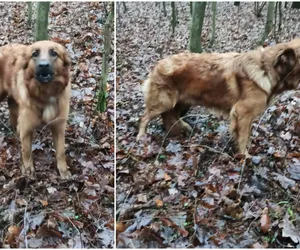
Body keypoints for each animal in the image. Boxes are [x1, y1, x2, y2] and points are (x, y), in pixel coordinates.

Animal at [0, 40, 71, 179]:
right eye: (35, 54)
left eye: (54, 53)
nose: (43, 65)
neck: (45, 93)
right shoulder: (27, 127)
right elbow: (27, 151)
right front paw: (28, 170)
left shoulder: (58, 126)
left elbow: (61, 151)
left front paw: (63, 171)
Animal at [137, 38, 300, 156]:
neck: (266, 68)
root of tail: (158, 64)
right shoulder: (242, 112)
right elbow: (243, 137)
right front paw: (244, 156)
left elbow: (245, 135)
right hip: (164, 102)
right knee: (145, 117)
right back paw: (141, 136)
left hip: (183, 102)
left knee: (172, 115)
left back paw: (182, 127)